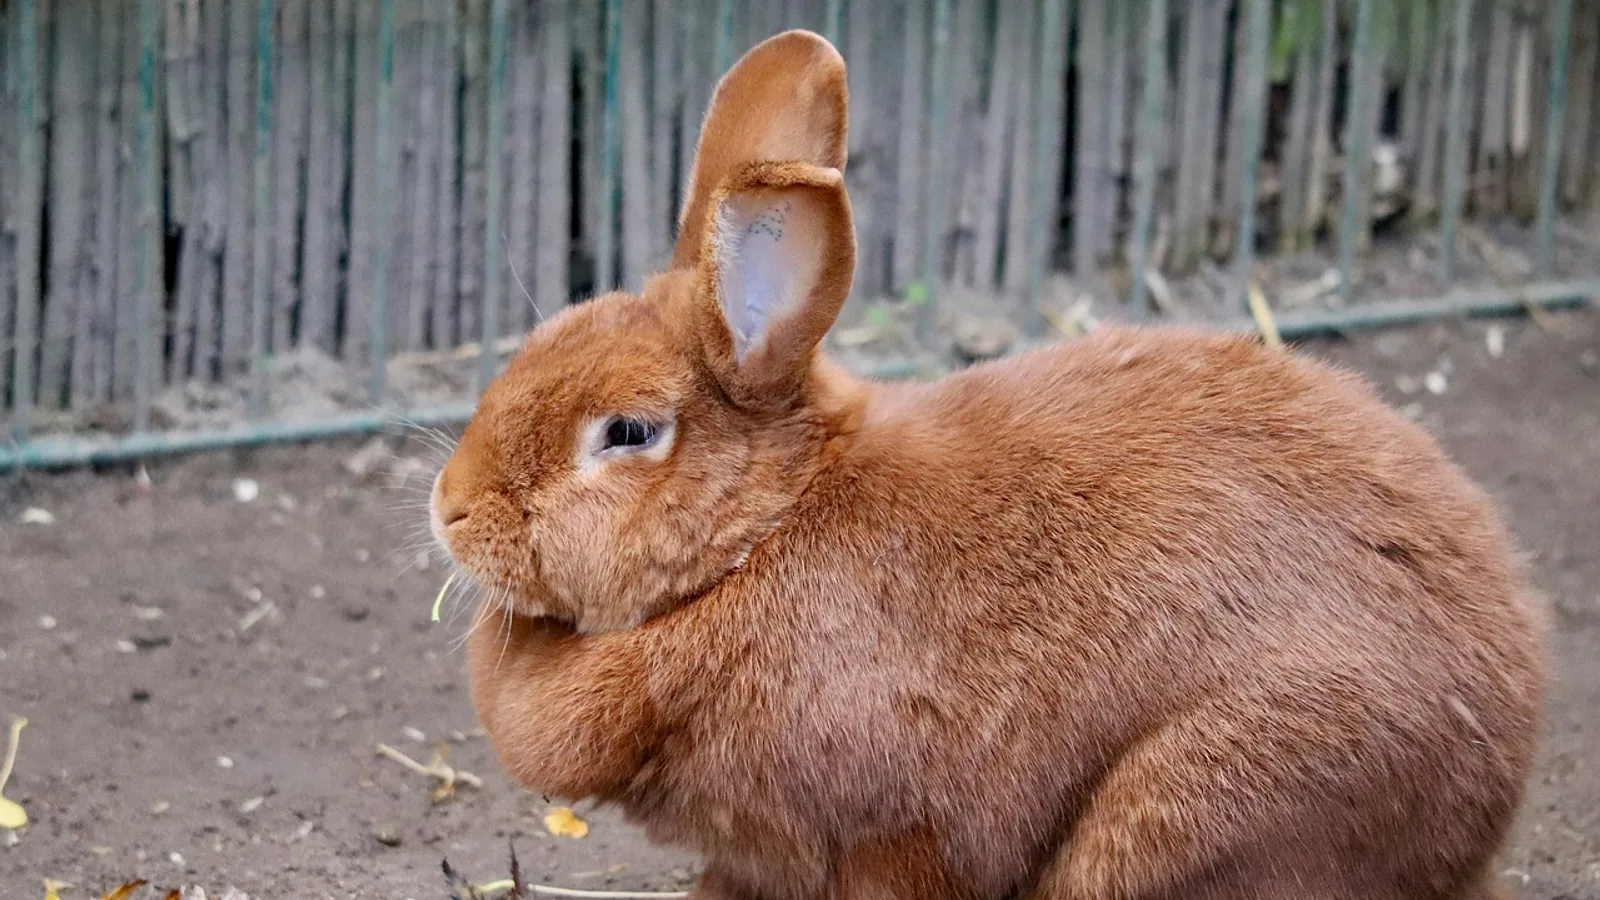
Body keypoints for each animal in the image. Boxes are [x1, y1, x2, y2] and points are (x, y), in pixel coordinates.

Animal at [430, 29, 1546, 900]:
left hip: (1209, 803)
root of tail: (1500, 762)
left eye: (625, 433)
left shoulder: (885, 835)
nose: (449, 507)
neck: (762, 535)